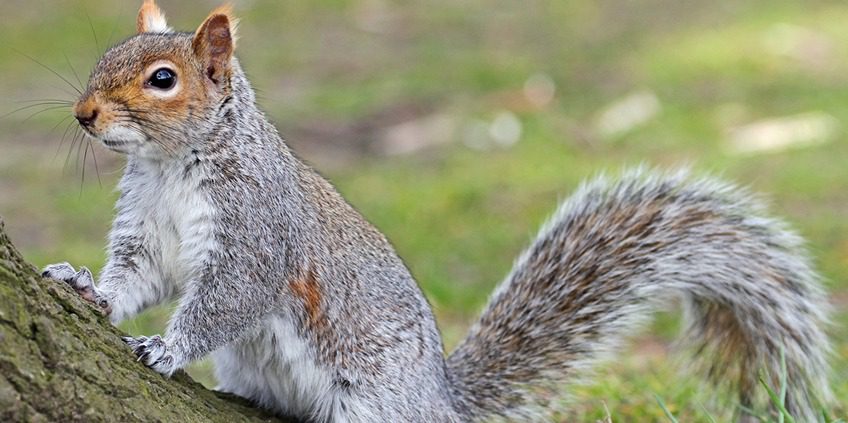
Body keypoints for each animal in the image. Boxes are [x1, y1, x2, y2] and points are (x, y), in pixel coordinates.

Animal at [38, 1, 828, 422]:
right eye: (108, 53)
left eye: (162, 80)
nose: (82, 114)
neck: (172, 167)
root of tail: (442, 402)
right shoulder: (147, 231)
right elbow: (136, 278)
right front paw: (87, 288)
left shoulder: (257, 232)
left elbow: (226, 299)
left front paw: (167, 347)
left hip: (374, 400)